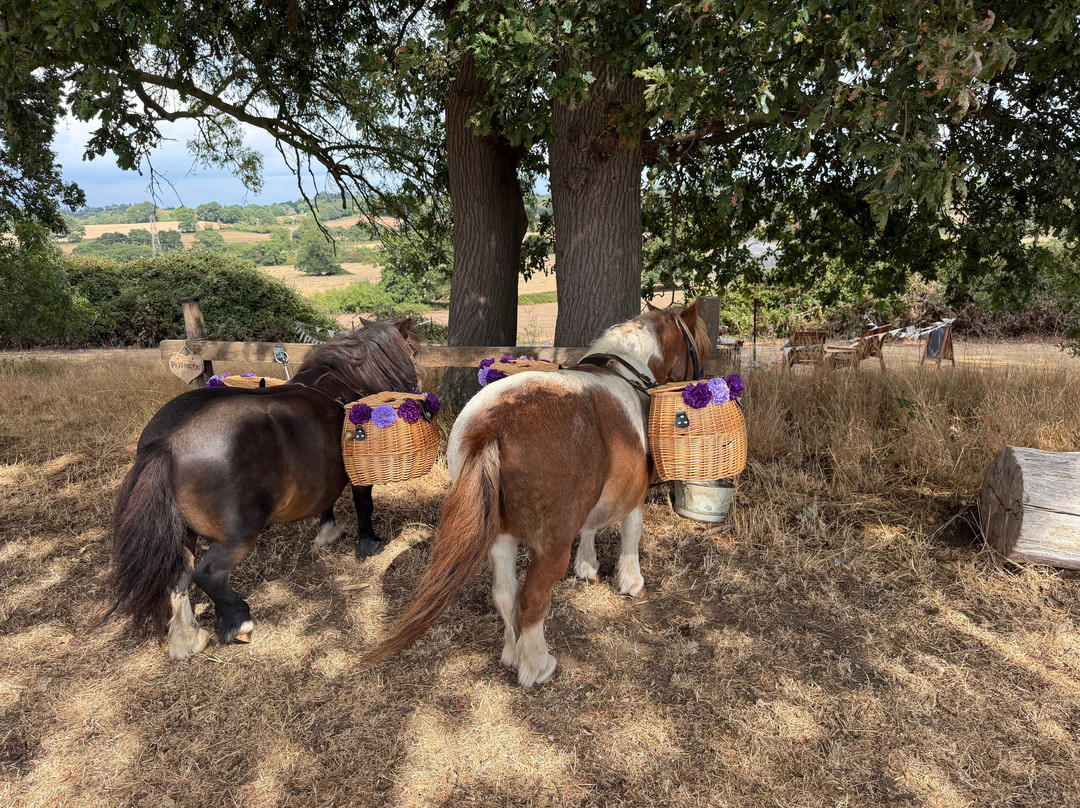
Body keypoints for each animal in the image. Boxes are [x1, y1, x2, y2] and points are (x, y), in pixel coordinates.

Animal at [105, 318, 421, 660]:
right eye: (414, 350)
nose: (417, 387)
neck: (344, 381)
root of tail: (168, 441)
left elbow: (327, 500)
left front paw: (328, 531)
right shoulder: (358, 471)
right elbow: (364, 504)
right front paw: (369, 544)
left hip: (181, 532)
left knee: (179, 577)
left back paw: (187, 638)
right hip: (237, 538)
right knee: (207, 575)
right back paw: (238, 622)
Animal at [358, 300, 711, 686]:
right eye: (696, 350)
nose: (700, 380)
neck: (625, 373)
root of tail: (494, 423)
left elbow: (589, 526)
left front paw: (587, 566)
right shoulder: (635, 492)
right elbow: (632, 531)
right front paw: (632, 582)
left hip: (500, 535)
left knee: (505, 594)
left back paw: (513, 654)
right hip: (549, 546)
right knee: (531, 598)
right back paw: (537, 666)